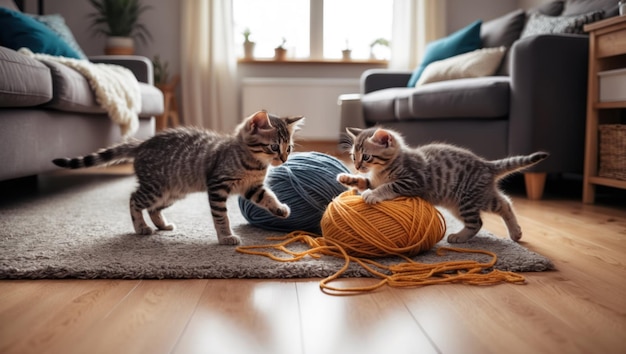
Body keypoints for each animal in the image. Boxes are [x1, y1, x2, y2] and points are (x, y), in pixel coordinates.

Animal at [53, 112, 302, 245]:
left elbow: (268, 197)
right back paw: (141, 227)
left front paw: (280, 209)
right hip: (156, 188)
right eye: (273, 147)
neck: (253, 164)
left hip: (172, 193)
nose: (283, 159)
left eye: (288, 148)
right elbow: (221, 216)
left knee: (153, 208)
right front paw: (225, 237)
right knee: (134, 199)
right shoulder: (217, 186)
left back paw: (162, 225)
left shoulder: (253, 187)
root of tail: (142, 144)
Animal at [336, 127, 544, 243]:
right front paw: (347, 178)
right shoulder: (373, 179)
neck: (383, 169)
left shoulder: (414, 181)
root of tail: (485, 164)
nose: (357, 166)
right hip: (470, 200)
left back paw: (459, 236)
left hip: (468, 198)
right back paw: (515, 232)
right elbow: (365, 182)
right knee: (504, 203)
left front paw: (373, 195)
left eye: (366, 157)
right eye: (353, 157)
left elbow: (388, 187)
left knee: (478, 221)